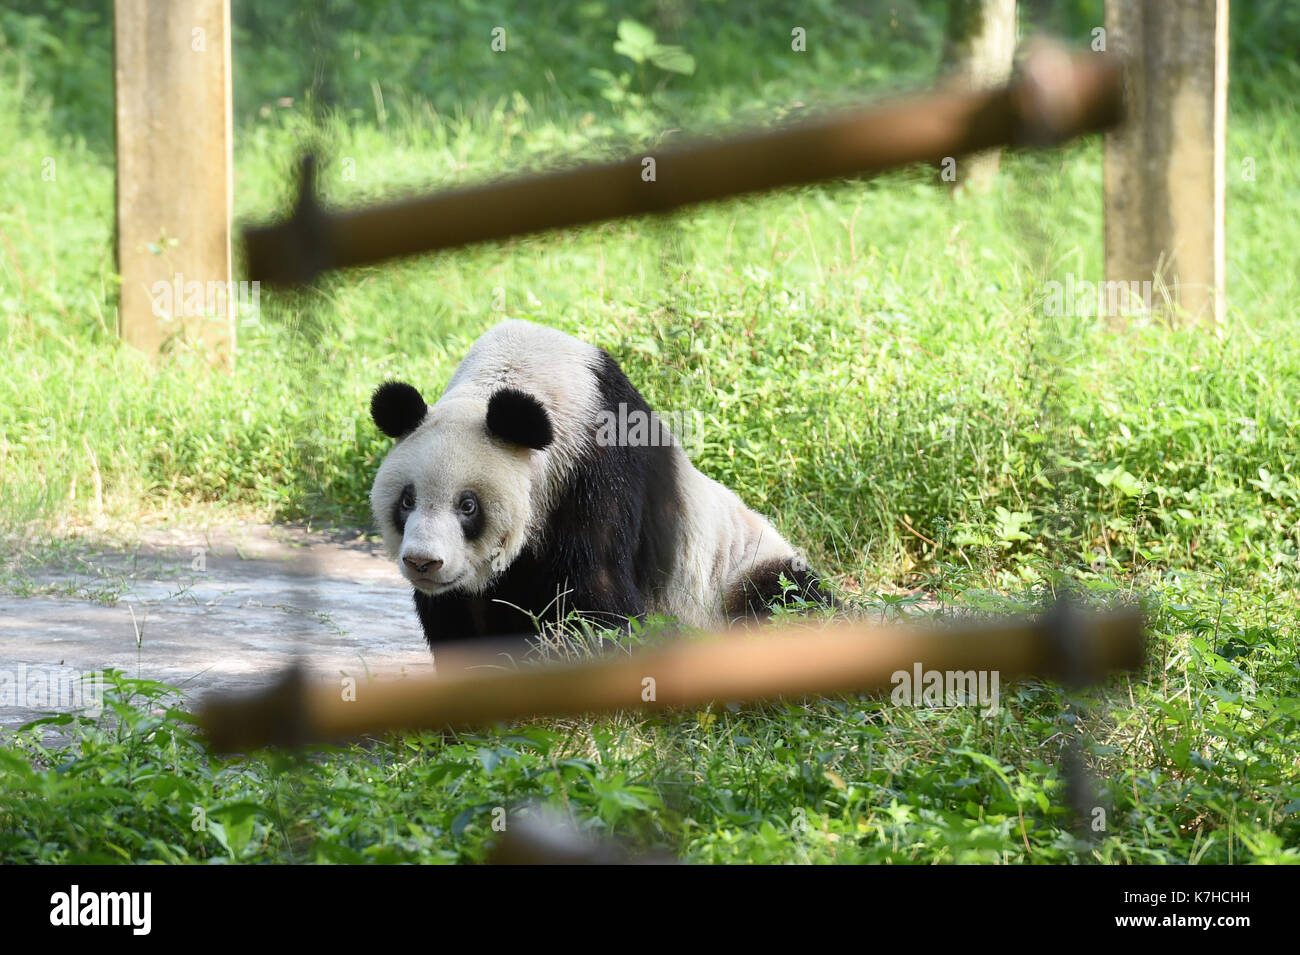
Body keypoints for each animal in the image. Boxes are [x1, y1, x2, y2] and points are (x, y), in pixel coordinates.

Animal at [371, 323, 826, 649]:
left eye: (468, 506)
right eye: (407, 500)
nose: (423, 562)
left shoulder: (595, 470)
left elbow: (596, 593)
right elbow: (459, 614)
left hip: (734, 571)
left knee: (786, 598)